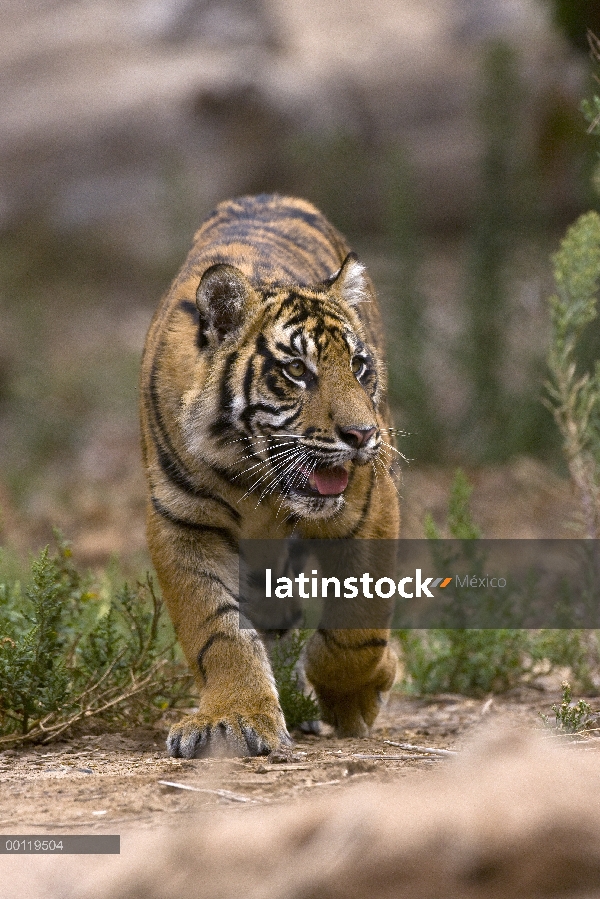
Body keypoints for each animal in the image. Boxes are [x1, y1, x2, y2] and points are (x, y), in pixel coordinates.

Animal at [140, 193, 400, 756]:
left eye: (359, 365)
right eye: (297, 370)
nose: (364, 435)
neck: (247, 470)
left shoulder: (368, 505)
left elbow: (357, 626)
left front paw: (356, 695)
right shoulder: (181, 520)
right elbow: (216, 629)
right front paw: (233, 718)